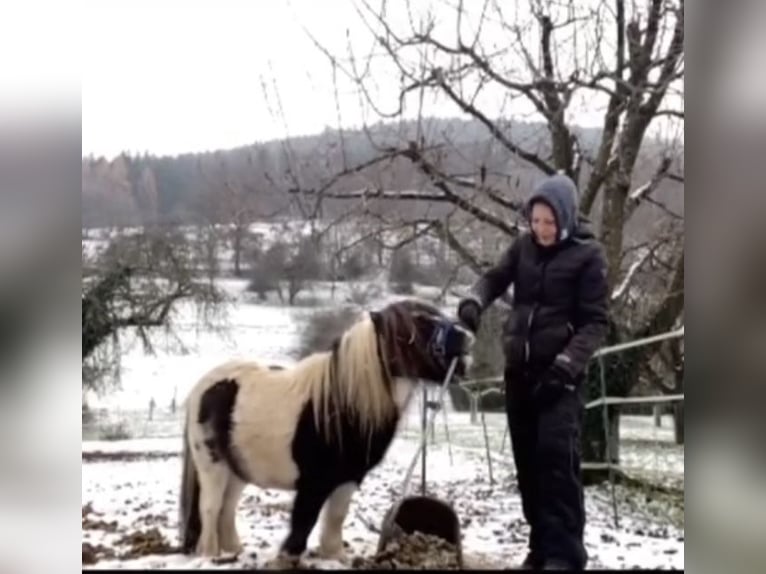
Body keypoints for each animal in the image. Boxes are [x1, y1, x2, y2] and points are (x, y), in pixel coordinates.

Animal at [179, 302, 474, 568]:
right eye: (419, 322)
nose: (467, 336)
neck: (344, 405)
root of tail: (201, 387)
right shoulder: (313, 483)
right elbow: (304, 520)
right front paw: (287, 557)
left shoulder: (348, 479)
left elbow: (336, 517)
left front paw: (334, 556)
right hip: (213, 466)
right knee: (211, 508)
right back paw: (210, 554)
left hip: (238, 470)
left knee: (226, 509)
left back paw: (232, 551)